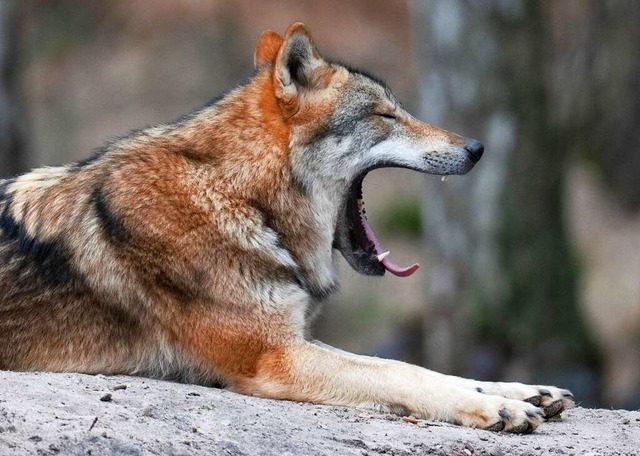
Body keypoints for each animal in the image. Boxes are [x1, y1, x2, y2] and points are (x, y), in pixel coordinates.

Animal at [0, 23, 568, 432]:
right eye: (386, 115)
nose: (476, 147)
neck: (240, 198)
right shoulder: (274, 355)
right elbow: (398, 370)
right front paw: (498, 408)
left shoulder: (293, 336)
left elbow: (417, 367)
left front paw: (517, 391)